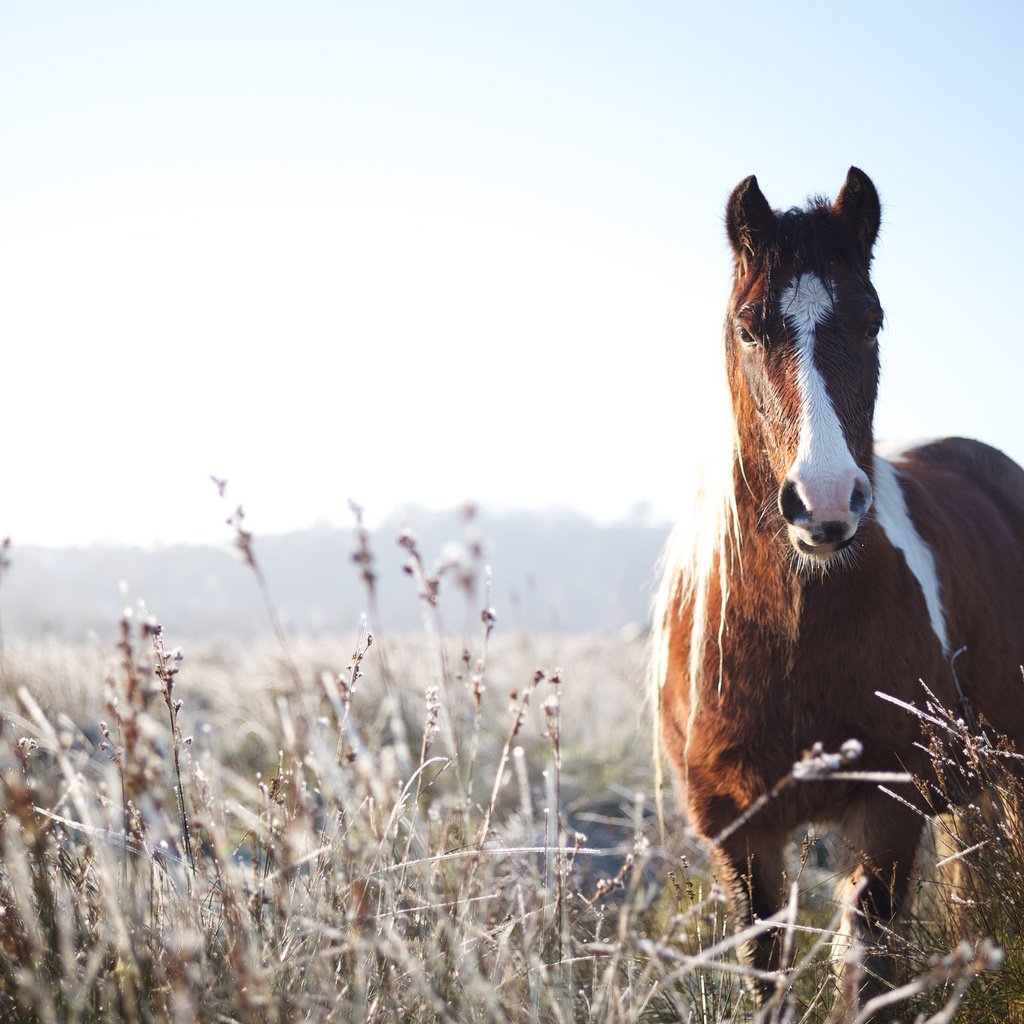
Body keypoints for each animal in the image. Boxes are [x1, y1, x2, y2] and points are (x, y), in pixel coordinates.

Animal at [651, 167, 1024, 1015]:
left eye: (872, 323)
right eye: (749, 330)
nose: (824, 503)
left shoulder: (886, 813)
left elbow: (868, 976)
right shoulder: (740, 833)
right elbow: (768, 976)